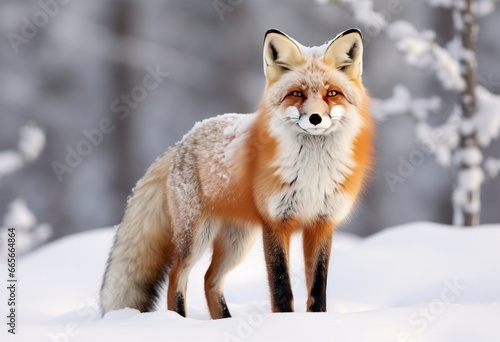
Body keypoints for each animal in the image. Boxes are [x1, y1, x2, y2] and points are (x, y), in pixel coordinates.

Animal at [100, 28, 372, 320]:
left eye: (332, 93)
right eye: (296, 93)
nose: (315, 119)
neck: (312, 173)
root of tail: (183, 140)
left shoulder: (322, 223)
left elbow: (317, 289)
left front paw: (316, 321)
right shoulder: (276, 223)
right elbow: (281, 287)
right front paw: (284, 322)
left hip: (238, 241)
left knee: (210, 279)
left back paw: (223, 321)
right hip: (197, 236)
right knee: (177, 275)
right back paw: (180, 321)